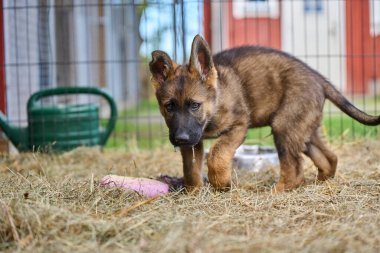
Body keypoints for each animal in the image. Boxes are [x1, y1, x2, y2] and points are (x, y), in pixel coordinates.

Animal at [149, 34, 380, 192]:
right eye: (169, 107)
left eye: (195, 105)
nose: (180, 139)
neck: (214, 105)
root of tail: (319, 78)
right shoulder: (194, 140)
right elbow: (190, 167)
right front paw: (193, 190)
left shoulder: (239, 126)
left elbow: (217, 153)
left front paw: (220, 183)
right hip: (303, 129)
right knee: (329, 158)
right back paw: (319, 182)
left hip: (284, 126)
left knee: (294, 169)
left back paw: (277, 191)